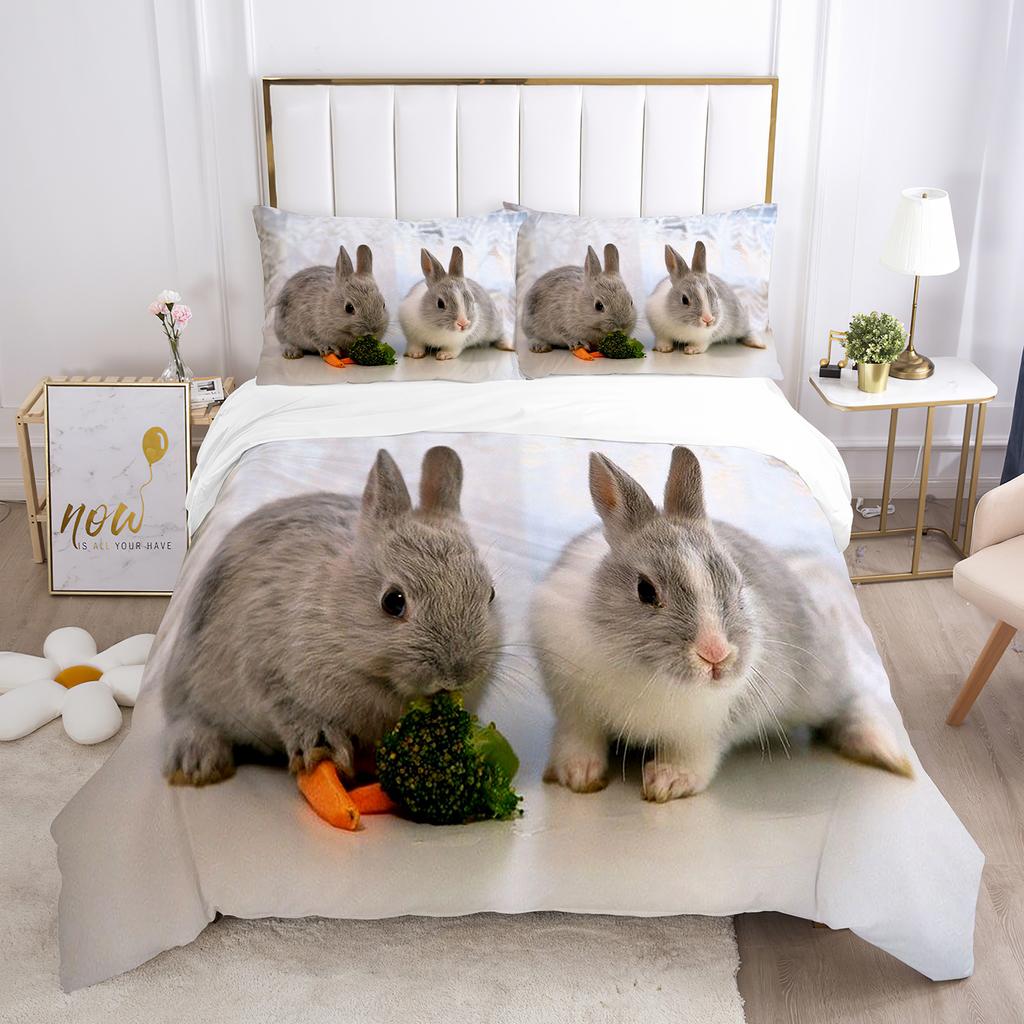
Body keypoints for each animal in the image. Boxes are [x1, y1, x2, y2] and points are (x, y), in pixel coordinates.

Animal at [161, 446, 501, 787]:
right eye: (393, 602)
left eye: (491, 594)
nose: (456, 676)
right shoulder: (264, 668)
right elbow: (290, 709)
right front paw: (323, 747)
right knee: (189, 719)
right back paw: (198, 765)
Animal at [532, 446, 912, 803]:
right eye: (645, 590)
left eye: (737, 581)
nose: (715, 654)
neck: (645, 674)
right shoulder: (575, 711)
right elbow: (580, 739)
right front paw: (577, 775)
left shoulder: (703, 730)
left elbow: (693, 757)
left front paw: (669, 781)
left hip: (820, 681)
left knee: (850, 704)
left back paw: (884, 752)